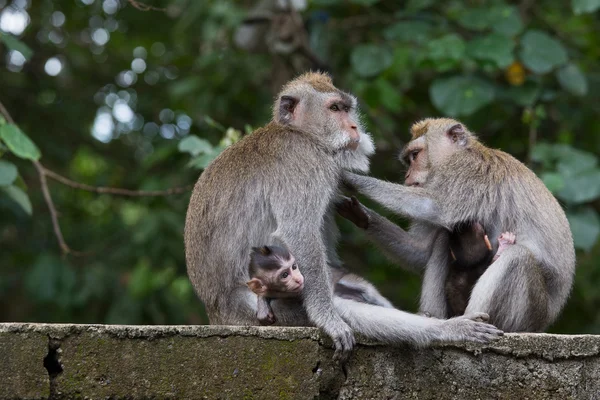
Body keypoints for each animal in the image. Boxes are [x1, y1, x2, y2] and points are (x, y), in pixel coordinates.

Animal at [342, 117, 576, 332]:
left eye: (415, 155)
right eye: (408, 160)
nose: (408, 175)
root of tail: (543, 323)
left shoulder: (465, 172)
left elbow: (437, 207)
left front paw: (349, 178)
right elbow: (419, 251)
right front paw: (360, 214)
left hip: (528, 316)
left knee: (517, 258)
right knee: (442, 241)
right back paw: (434, 318)